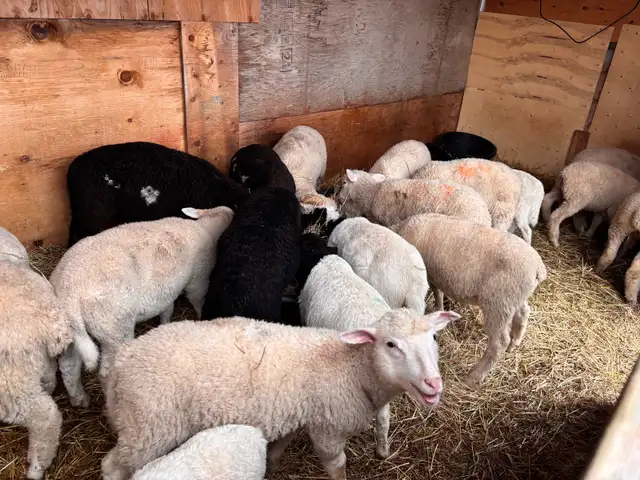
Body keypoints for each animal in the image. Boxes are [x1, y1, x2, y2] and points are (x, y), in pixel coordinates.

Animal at [50, 206, 234, 406]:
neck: (205, 228)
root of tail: (69, 294)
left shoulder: (166, 291)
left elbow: (167, 310)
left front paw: (165, 324)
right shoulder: (199, 279)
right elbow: (199, 300)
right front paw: (202, 319)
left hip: (69, 331)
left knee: (68, 366)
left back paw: (79, 399)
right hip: (115, 329)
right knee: (105, 372)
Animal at [390, 213, 547, 387]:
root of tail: (538, 268)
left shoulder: (431, 275)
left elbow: (437, 293)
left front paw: (438, 308)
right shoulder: (435, 276)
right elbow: (439, 294)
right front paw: (440, 309)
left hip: (498, 303)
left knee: (498, 343)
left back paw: (474, 377)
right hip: (514, 297)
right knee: (523, 312)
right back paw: (515, 342)